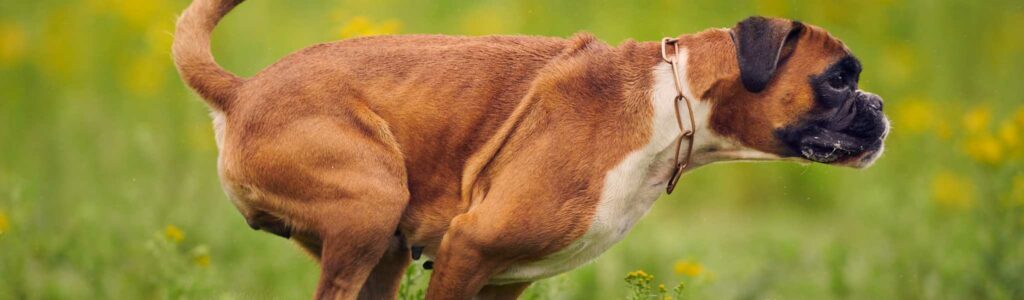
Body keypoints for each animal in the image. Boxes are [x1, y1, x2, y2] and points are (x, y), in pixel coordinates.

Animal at [169, 0, 888, 296]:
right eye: (838, 79)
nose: (879, 106)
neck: (672, 100)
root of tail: (243, 90)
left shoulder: (503, 279)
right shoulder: (467, 251)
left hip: (384, 251)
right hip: (371, 204)